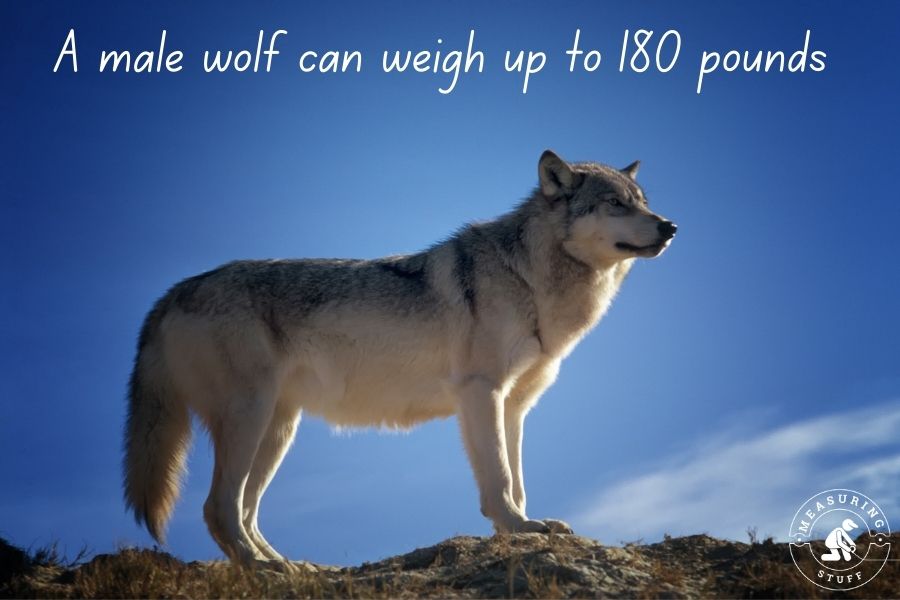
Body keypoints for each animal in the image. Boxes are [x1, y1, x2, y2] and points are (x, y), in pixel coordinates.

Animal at [123, 150, 677, 567]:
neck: (529, 278)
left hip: (278, 430)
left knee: (244, 510)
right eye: (615, 204)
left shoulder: (515, 406)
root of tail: (172, 293)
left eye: (642, 203)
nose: (670, 226)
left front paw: (523, 527)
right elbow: (499, 479)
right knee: (218, 508)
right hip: (250, 418)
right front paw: (518, 529)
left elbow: (517, 480)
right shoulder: (481, 393)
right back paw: (262, 569)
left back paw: (288, 566)